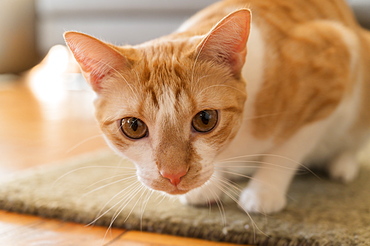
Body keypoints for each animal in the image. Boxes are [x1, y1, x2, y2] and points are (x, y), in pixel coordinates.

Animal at [64, 0, 370, 214]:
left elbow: (287, 150)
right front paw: (213, 183)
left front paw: (264, 190)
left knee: (350, 143)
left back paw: (342, 164)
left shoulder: (335, 64)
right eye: (133, 126)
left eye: (205, 120)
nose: (173, 175)